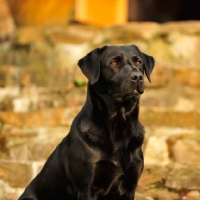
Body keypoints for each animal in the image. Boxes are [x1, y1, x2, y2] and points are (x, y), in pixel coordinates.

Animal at [18, 44, 155, 199]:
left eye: (139, 62)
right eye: (114, 63)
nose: (137, 77)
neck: (119, 124)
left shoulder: (130, 188)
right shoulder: (88, 188)